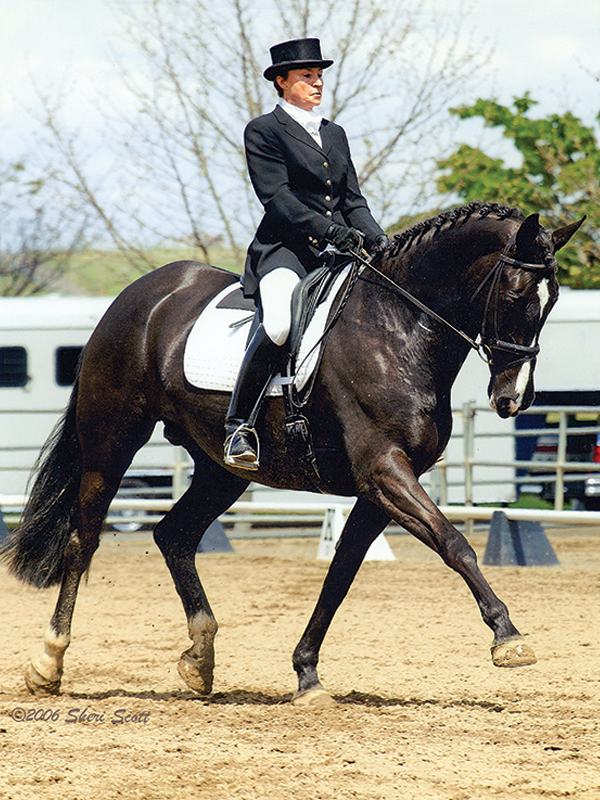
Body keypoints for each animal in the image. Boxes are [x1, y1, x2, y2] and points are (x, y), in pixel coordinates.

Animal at [1, 201, 583, 706]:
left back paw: (200, 657)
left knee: (174, 535)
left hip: (221, 469)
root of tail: (137, 295)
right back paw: (49, 662)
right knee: (84, 539)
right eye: (515, 295)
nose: (513, 400)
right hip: (111, 442)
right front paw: (508, 636)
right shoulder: (384, 472)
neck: (397, 330)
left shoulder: (381, 487)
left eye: (552, 301)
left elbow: (340, 576)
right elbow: (455, 543)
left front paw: (307, 675)